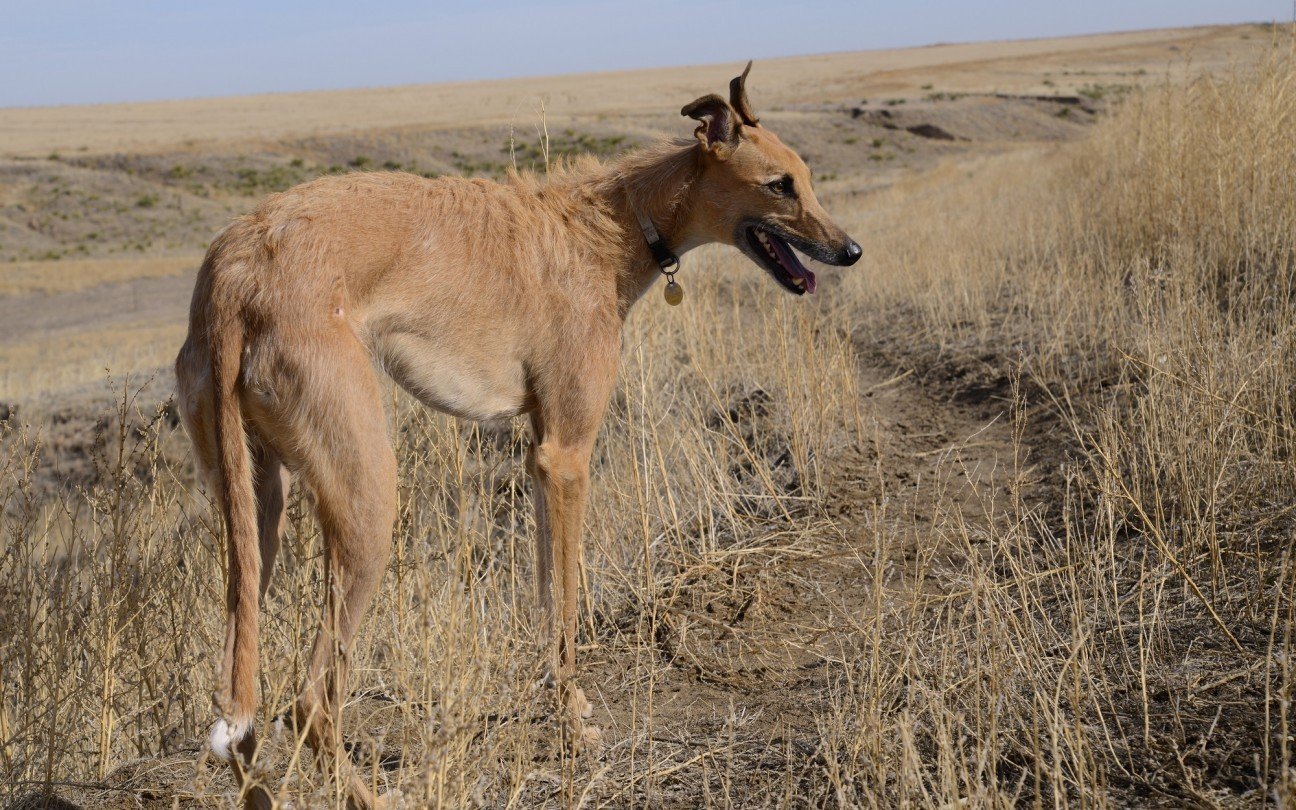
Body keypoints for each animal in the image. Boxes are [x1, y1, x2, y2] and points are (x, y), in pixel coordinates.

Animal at [172, 64, 860, 808]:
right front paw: (575, 726)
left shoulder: (538, 458)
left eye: (807, 176)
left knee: (239, 696)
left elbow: (544, 591)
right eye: (780, 185)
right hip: (366, 498)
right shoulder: (567, 455)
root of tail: (235, 271)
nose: (850, 251)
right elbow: (565, 604)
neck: (615, 223)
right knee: (309, 701)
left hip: (253, 510)